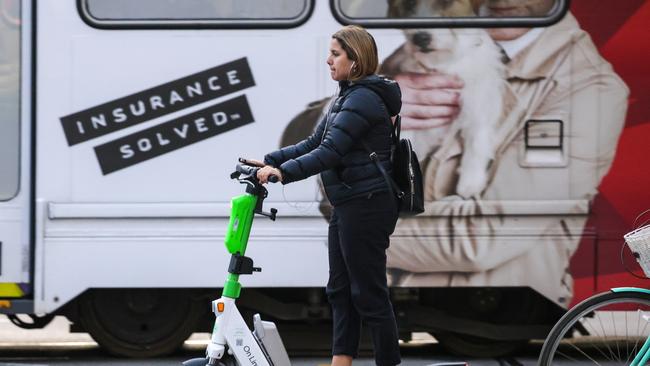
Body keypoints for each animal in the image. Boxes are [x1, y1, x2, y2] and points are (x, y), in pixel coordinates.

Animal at [382, 0, 504, 199]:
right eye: (409, 4)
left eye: (446, 2)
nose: (421, 38)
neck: (444, 64)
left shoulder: (478, 105)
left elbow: (476, 143)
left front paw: (470, 182)